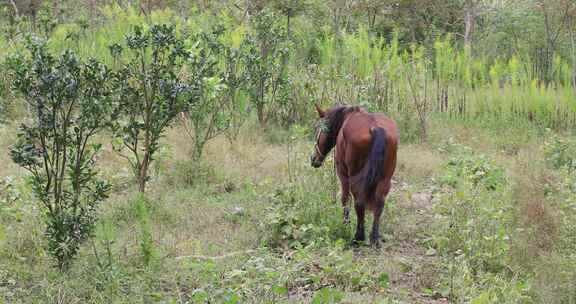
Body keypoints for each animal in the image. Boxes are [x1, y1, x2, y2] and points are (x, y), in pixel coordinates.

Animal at [308, 104, 398, 247]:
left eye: (318, 129)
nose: (313, 158)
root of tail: (375, 128)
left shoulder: (343, 175)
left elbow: (345, 199)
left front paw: (345, 224)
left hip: (355, 177)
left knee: (359, 202)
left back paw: (358, 237)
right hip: (385, 179)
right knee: (379, 203)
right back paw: (374, 238)